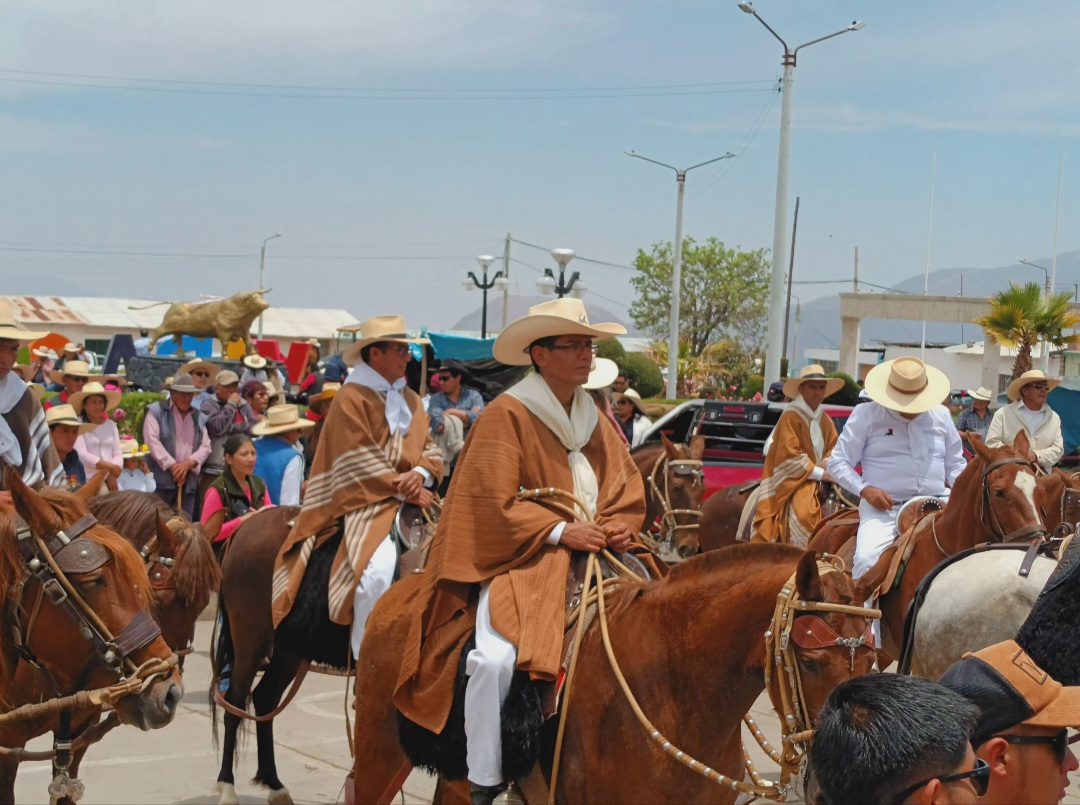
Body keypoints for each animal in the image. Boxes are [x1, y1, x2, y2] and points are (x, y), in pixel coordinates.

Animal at [349, 542, 881, 799]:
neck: (675, 698)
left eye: (873, 661)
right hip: (380, 756)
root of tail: (403, 590)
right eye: (810, 661)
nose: (839, 778)